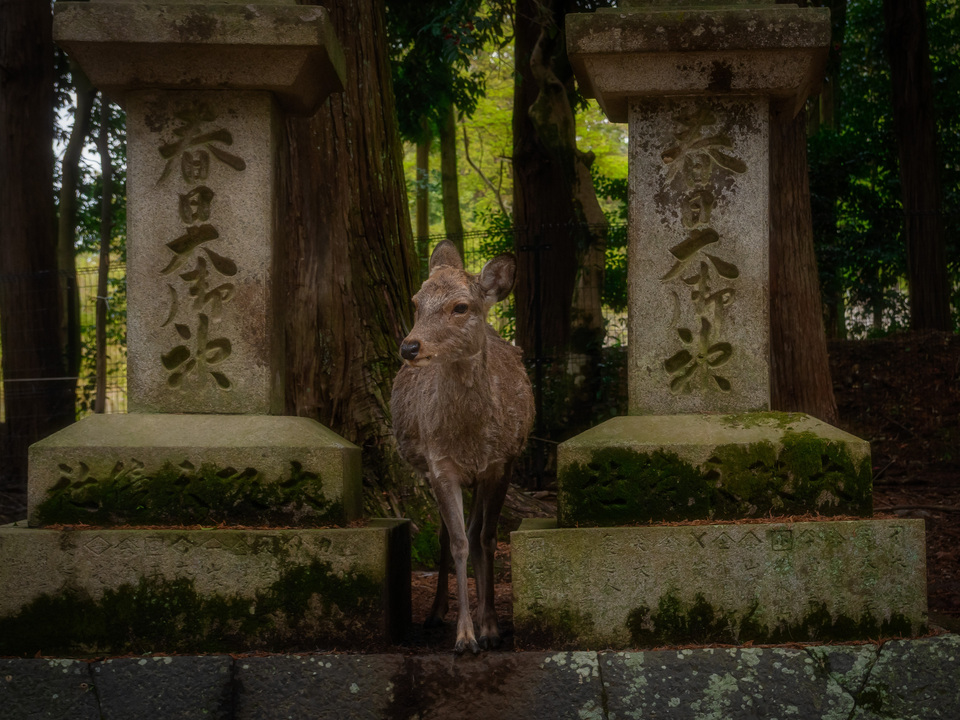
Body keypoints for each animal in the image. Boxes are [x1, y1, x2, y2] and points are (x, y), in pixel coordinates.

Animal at [391, 240, 534, 655]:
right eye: (416, 301)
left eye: (460, 306)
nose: (410, 347)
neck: (470, 437)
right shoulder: (441, 466)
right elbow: (457, 542)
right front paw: (466, 636)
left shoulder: (500, 463)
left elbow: (486, 538)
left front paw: (492, 629)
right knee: (447, 536)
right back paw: (436, 612)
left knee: (475, 531)